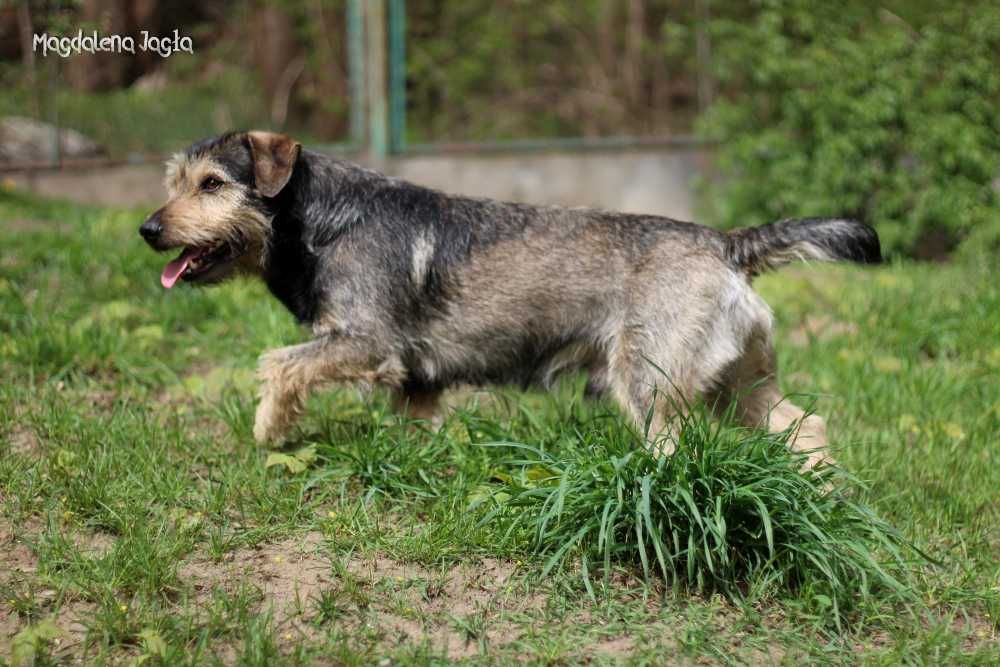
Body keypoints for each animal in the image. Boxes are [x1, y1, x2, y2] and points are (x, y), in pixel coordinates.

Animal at [143, 129, 884, 464]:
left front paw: (270, 430)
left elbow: (278, 363)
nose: (148, 228)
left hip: (649, 384)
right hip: (735, 382)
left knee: (677, 448)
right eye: (175, 180)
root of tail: (725, 243)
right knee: (806, 423)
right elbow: (415, 428)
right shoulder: (417, 381)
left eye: (213, 183)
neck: (323, 219)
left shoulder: (368, 344)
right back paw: (823, 489)